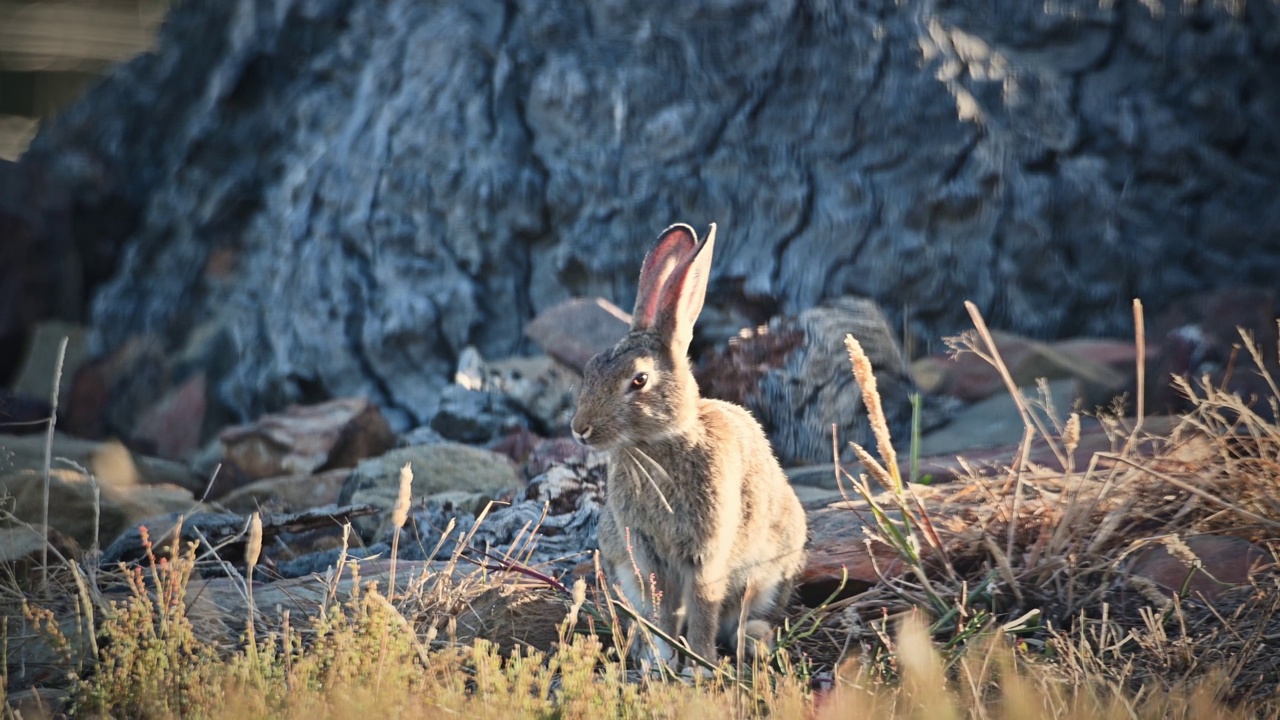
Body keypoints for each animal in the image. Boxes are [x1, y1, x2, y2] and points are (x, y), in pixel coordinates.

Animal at [573, 221, 803, 666]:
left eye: (639, 380)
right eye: (591, 368)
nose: (580, 429)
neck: (656, 446)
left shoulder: (707, 549)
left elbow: (703, 604)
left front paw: (699, 665)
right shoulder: (644, 551)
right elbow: (663, 604)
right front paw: (664, 657)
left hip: (771, 572)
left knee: (742, 615)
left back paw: (752, 641)